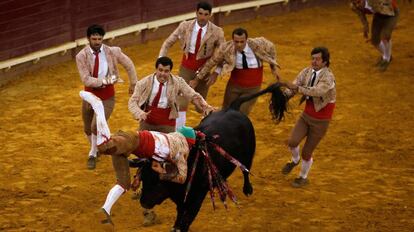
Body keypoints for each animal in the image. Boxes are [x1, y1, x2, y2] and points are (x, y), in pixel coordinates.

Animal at [137, 82, 286, 231]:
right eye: (143, 178)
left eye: (158, 182)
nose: (143, 202)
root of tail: (233, 108)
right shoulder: (182, 198)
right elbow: (180, 216)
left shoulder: (196, 197)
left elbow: (186, 219)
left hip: (248, 154)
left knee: (246, 170)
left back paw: (247, 189)